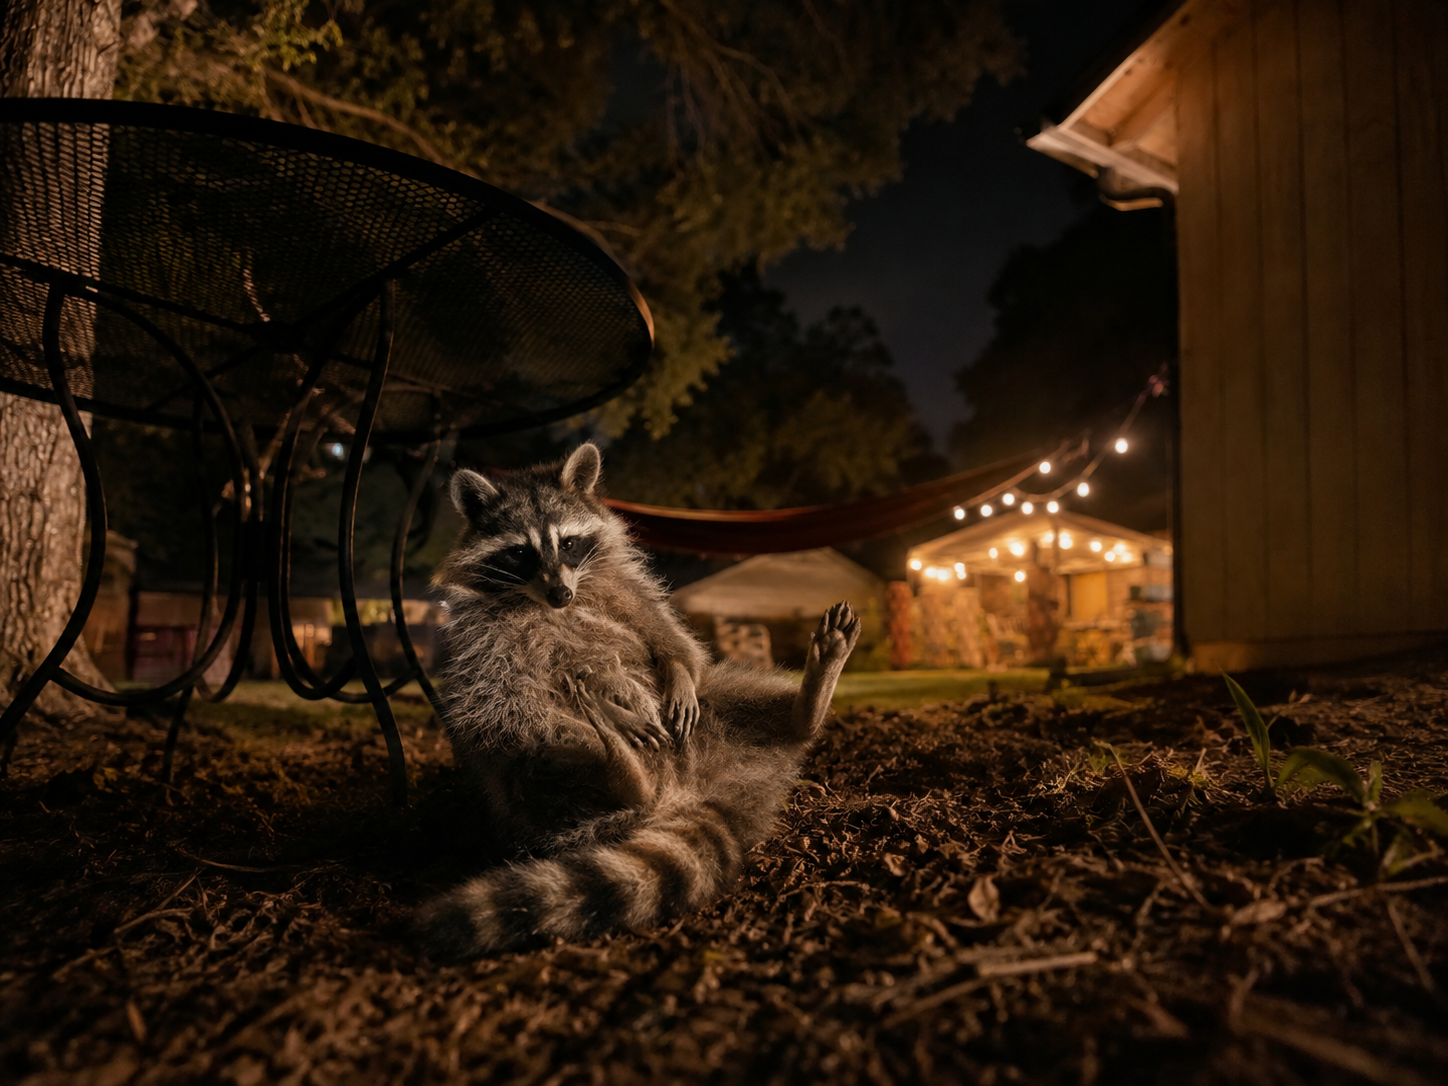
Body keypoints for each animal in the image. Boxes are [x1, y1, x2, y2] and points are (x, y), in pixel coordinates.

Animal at [414, 443, 860, 959]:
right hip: (530, 806)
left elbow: (671, 641)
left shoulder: (628, 589)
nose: (560, 593)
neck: (550, 601)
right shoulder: (480, 635)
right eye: (520, 552)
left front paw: (679, 673)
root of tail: (696, 791)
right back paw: (618, 763)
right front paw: (608, 712)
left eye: (568, 543)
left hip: (719, 717)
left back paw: (805, 710)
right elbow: (501, 696)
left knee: (736, 695)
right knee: (526, 743)